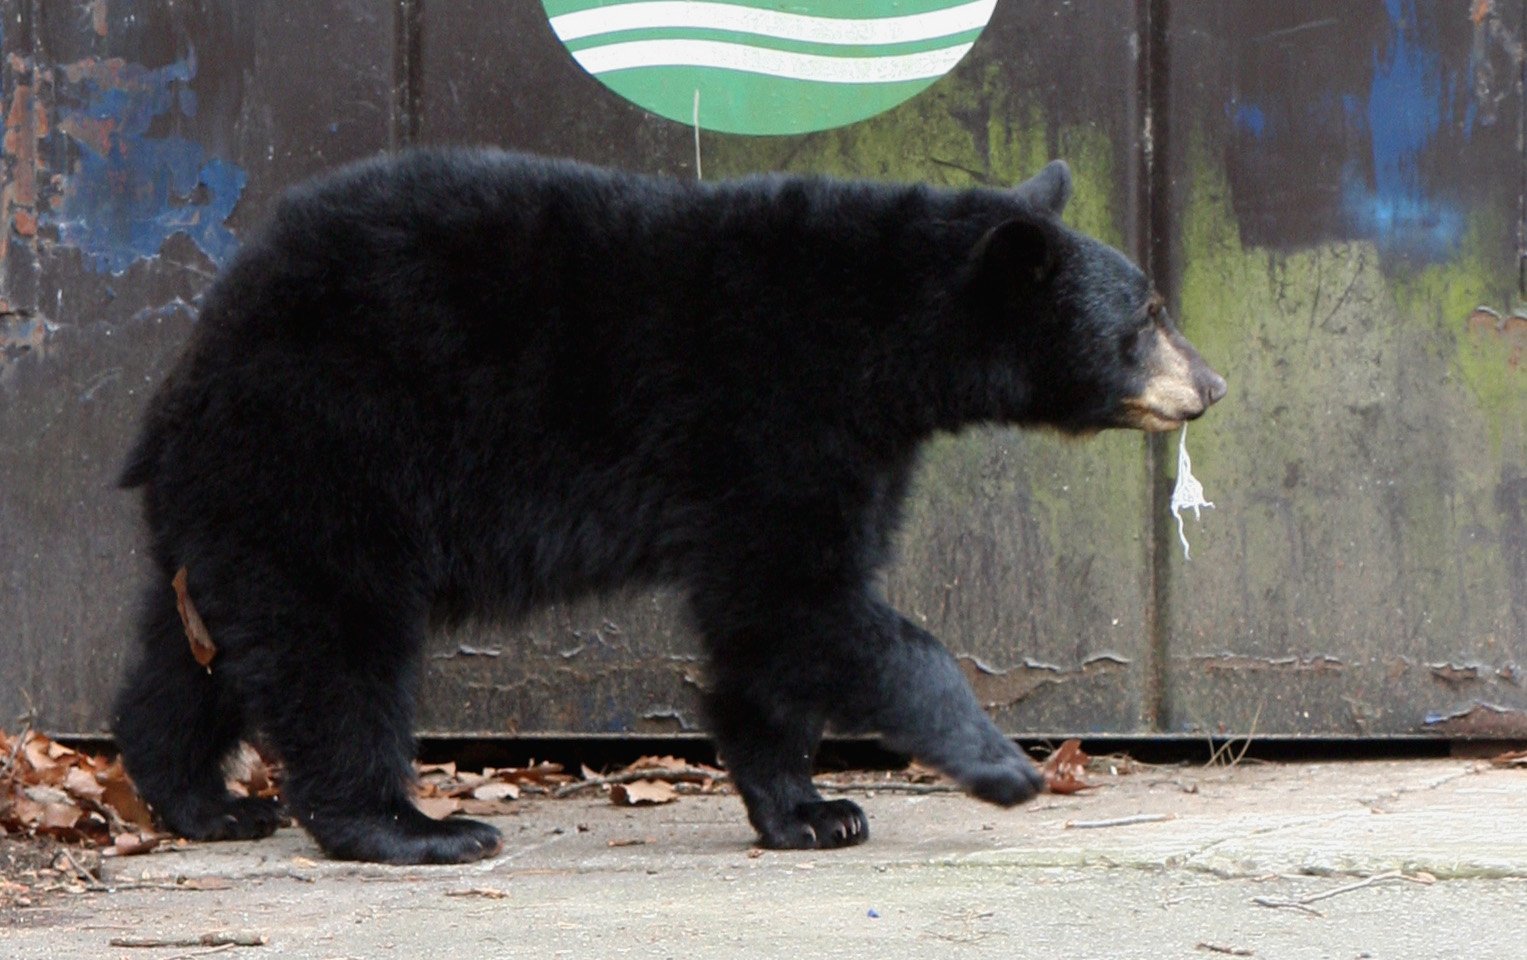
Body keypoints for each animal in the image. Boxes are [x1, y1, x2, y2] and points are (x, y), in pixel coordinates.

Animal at [112, 149, 1226, 864]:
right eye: (1146, 318)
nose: (1210, 383)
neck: (880, 338)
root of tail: (196, 360)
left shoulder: (848, 446)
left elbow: (771, 625)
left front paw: (811, 810)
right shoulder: (771, 413)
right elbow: (800, 598)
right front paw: (1003, 767)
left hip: (238, 500)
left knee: (199, 649)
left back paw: (201, 800)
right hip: (338, 445)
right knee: (340, 645)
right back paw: (412, 827)